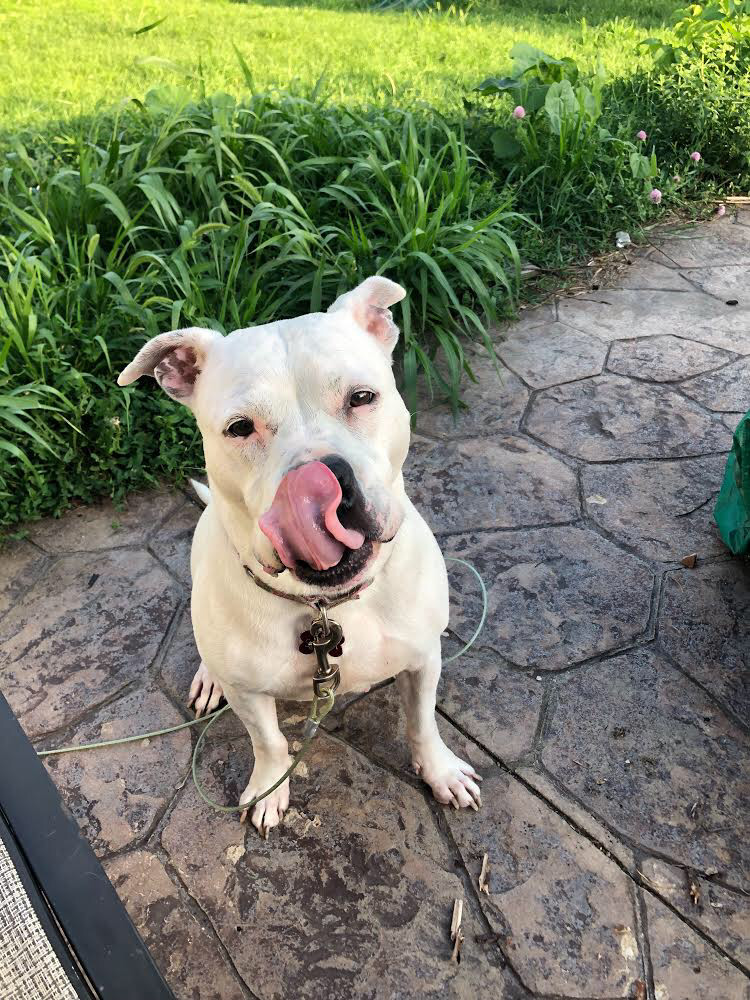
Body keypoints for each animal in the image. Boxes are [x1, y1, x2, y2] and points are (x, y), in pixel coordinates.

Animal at [117, 276, 482, 836]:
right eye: (239, 428)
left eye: (362, 397)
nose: (320, 482)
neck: (326, 605)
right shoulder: (249, 693)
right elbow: (268, 741)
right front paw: (268, 790)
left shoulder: (424, 657)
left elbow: (422, 721)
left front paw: (439, 770)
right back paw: (207, 679)